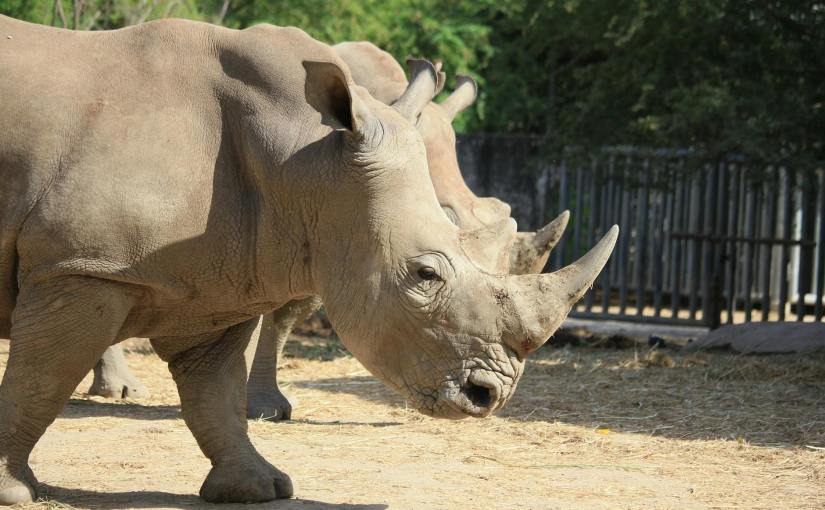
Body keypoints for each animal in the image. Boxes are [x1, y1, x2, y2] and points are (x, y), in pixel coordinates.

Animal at [0, 16, 617, 505]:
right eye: (425, 274)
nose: (489, 396)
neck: (300, 156)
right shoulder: (84, 265)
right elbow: (42, 377)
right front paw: (12, 489)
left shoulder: (217, 273)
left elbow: (214, 390)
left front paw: (258, 486)